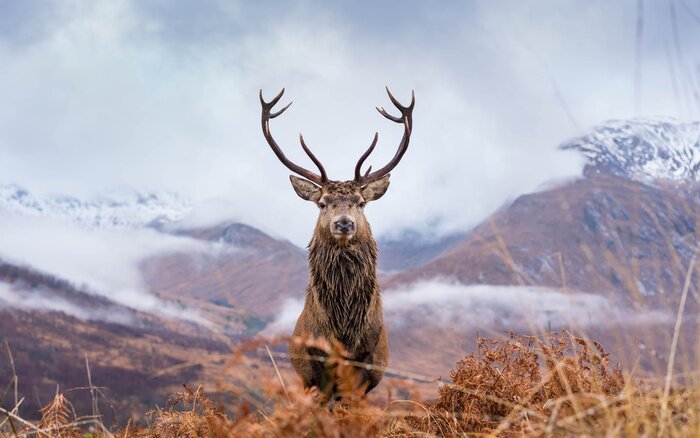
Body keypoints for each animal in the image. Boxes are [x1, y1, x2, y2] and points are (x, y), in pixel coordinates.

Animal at [259, 87, 414, 397]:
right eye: (322, 203)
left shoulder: (364, 365)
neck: (343, 332)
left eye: (361, 202)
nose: (343, 223)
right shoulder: (315, 368)